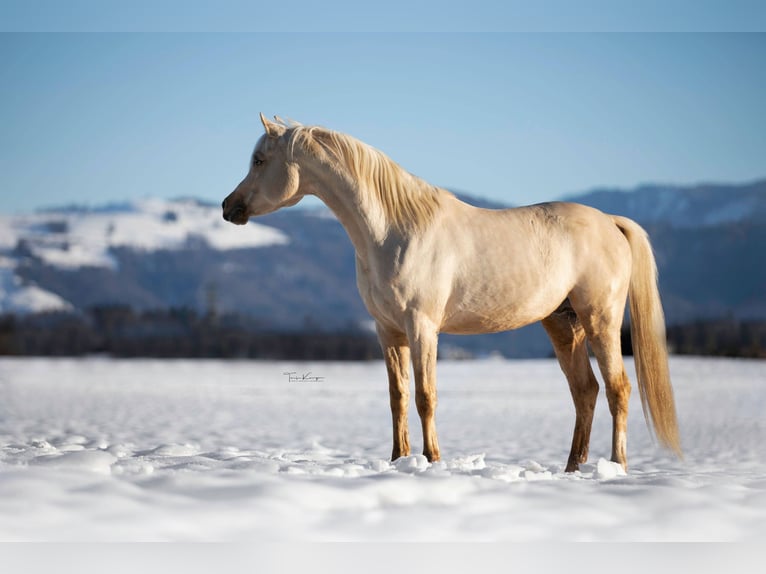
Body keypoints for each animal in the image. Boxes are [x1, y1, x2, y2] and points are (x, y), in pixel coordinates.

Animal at [222, 113, 684, 472]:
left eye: (260, 160)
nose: (229, 207)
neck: (392, 230)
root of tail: (611, 222)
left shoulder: (422, 326)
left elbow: (426, 396)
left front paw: (432, 460)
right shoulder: (387, 331)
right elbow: (398, 397)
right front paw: (399, 460)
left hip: (600, 319)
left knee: (618, 389)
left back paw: (617, 467)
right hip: (562, 324)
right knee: (585, 391)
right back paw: (573, 468)